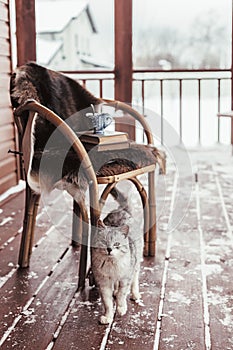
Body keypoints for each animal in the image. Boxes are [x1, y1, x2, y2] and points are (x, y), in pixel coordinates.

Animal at [90, 191, 142, 326]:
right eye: (104, 242)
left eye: (117, 244)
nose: (109, 249)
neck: (111, 264)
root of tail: (122, 209)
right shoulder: (103, 283)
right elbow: (107, 303)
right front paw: (107, 317)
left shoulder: (125, 278)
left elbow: (121, 295)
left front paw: (121, 308)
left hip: (136, 263)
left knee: (135, 279)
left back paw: (135, 294)